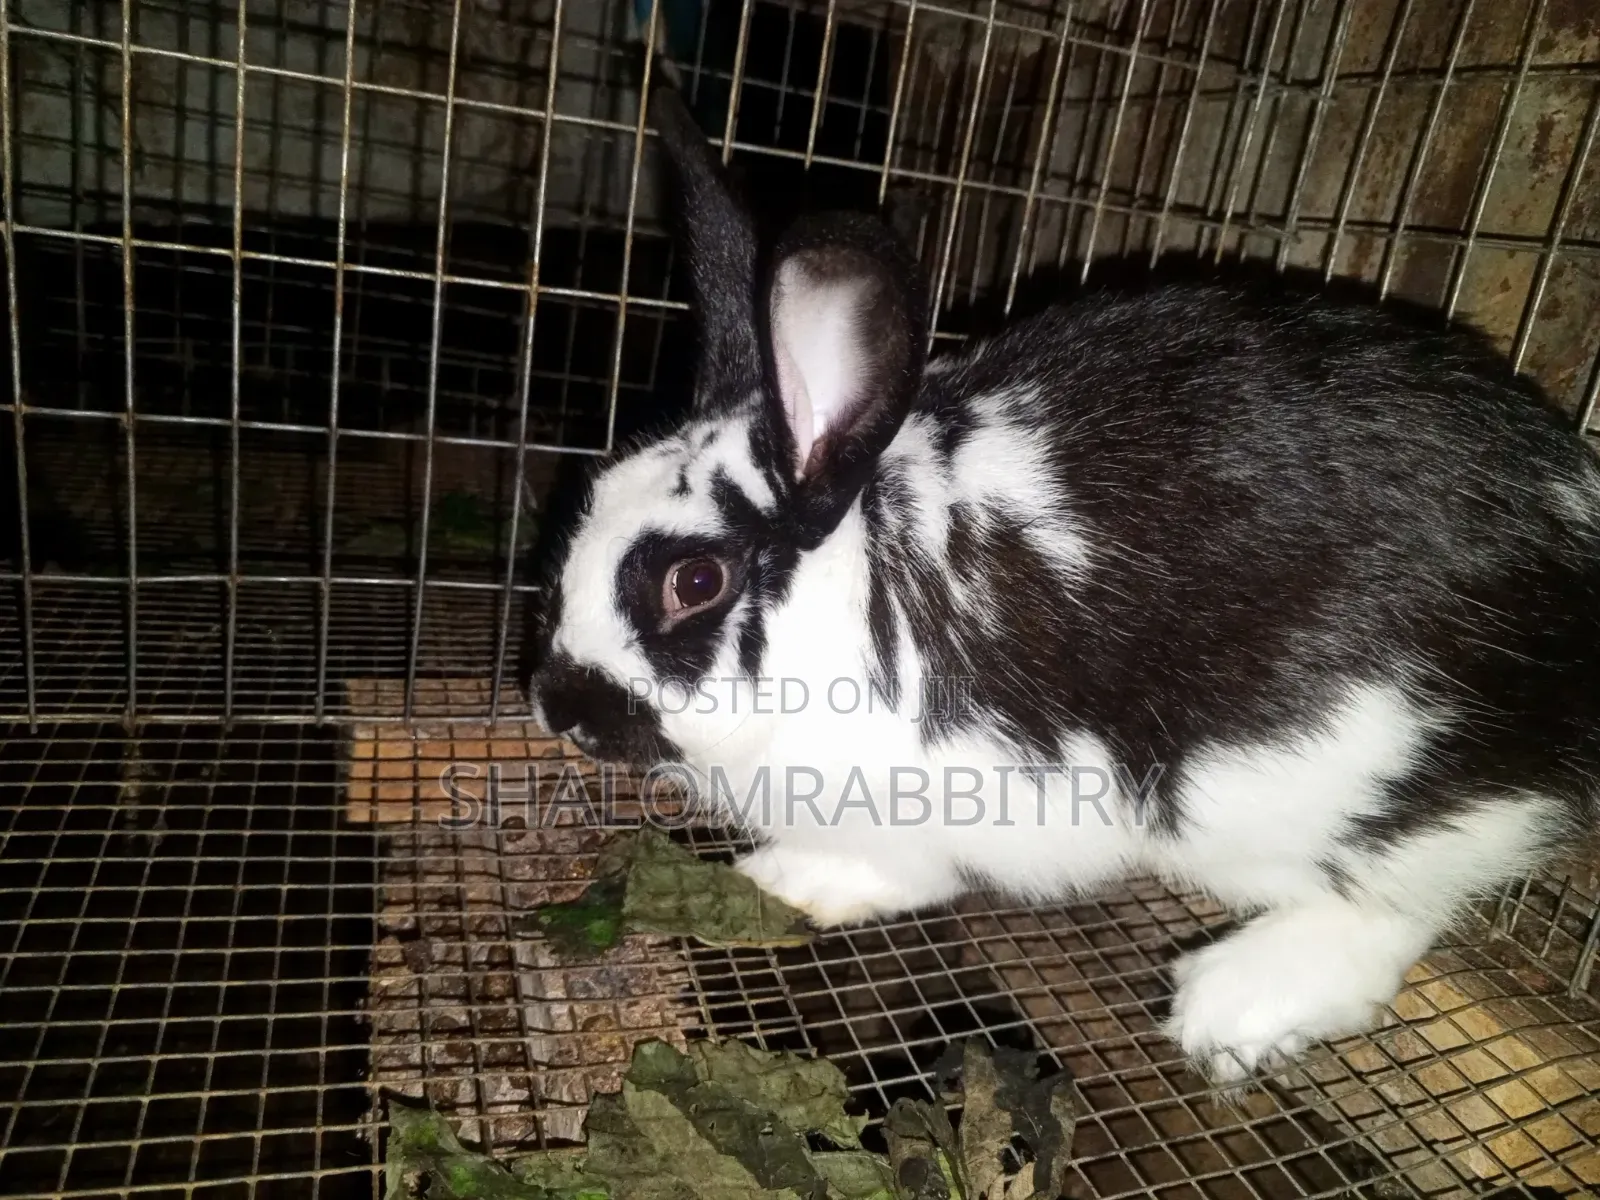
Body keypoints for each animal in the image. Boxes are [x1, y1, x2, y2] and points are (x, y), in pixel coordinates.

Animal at [528, 80, 1600, 1088]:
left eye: (694, 579)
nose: (558, 707)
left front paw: (795, 881)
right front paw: (784, 880)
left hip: (1322, 783)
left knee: (1396, 904)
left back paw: (1228, 1006)